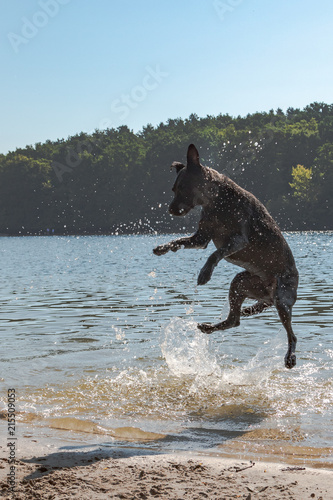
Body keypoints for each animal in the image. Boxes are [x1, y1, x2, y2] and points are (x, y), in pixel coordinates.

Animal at [153, 143, 298, 370]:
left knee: (292, 335)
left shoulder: (238, 239)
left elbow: (216, 253)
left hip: (282, 298)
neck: (216, 200)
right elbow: (180, 241)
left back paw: (290, 356)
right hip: (241, 283)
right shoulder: (201, 237)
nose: (170, 210)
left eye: (182, 187)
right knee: (234, 320)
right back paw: (209, 327)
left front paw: (205, 273)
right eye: (173, 189)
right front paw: (163, 247)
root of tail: (268, 297)